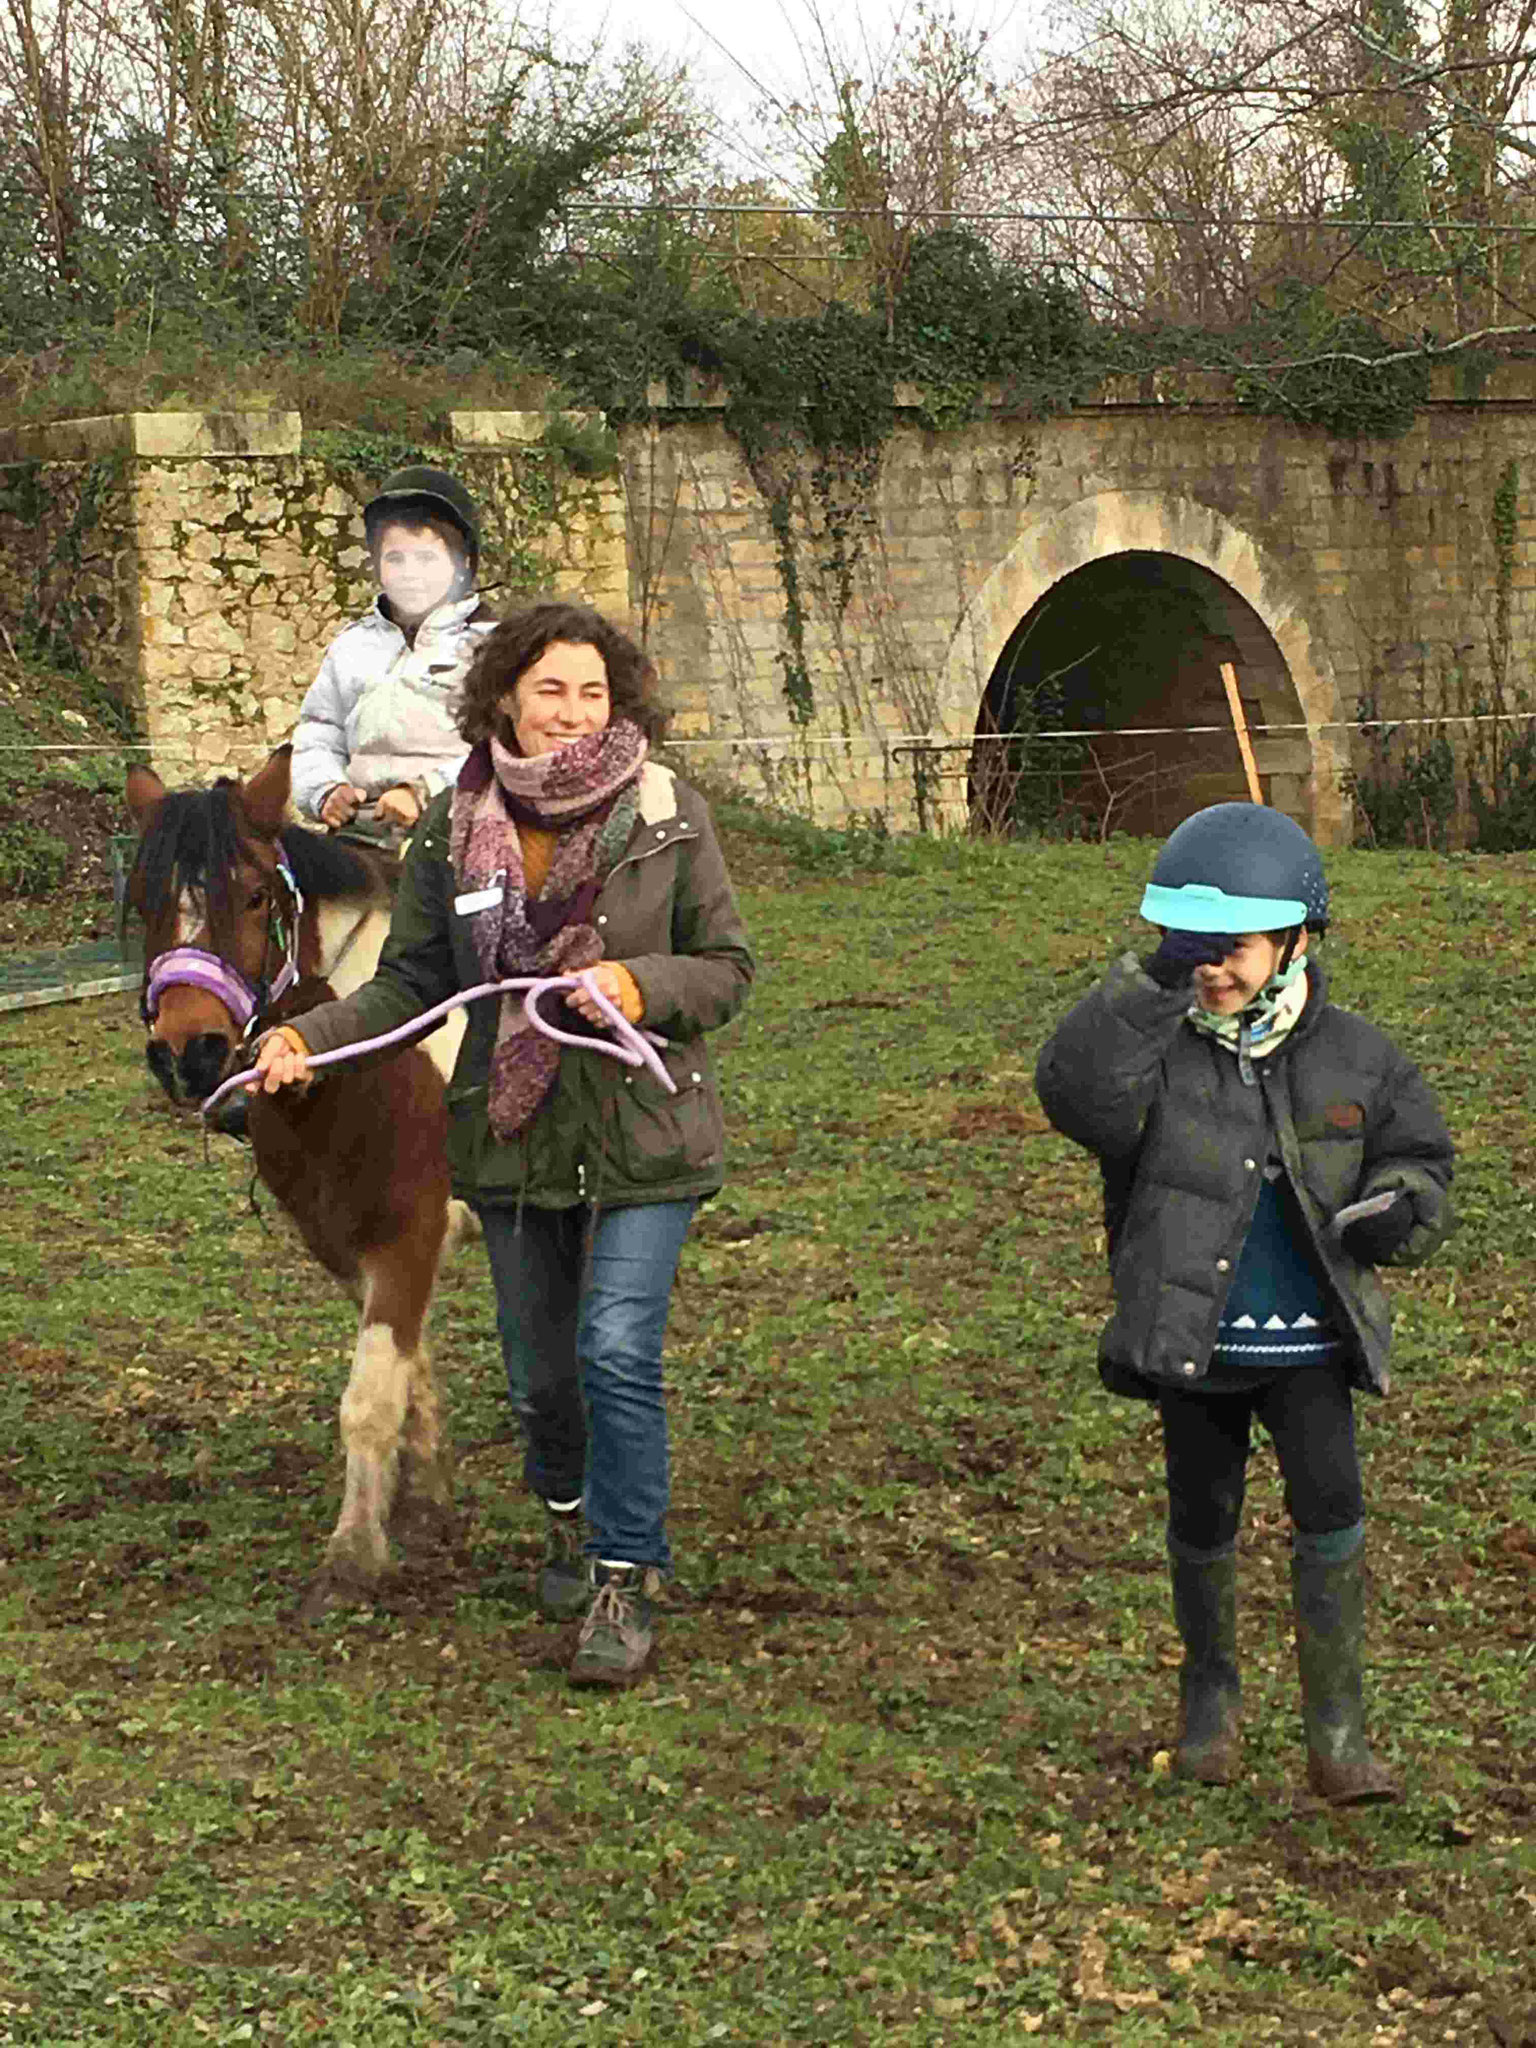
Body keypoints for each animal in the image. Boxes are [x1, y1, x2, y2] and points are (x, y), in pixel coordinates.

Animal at [123, 745, 473, 1622]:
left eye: (253, 895)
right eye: (145, 901)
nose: (190, 1053)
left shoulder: (410, 1233)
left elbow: (367, 1398)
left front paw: (353, 1555)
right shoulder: (344, 1243)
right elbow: (407, 1371)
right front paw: (421, 1501)